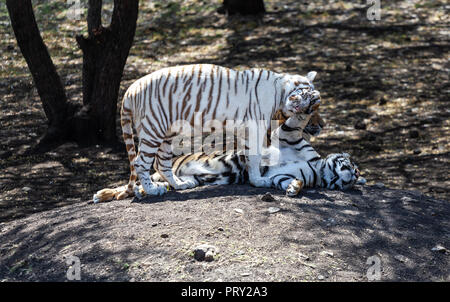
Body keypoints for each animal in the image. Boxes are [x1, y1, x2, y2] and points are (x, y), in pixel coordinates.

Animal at [107, 63, 320, 199]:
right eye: (308, 92)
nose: (315, 99)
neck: (279, 92)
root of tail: (130, 89)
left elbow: (250, 156)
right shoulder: (255, 126)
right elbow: (255, 156)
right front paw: (259, 181)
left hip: (167, 133)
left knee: (161, 163)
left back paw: (179, 185)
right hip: (154, 128)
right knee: (141, 162)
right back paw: (152, 190)